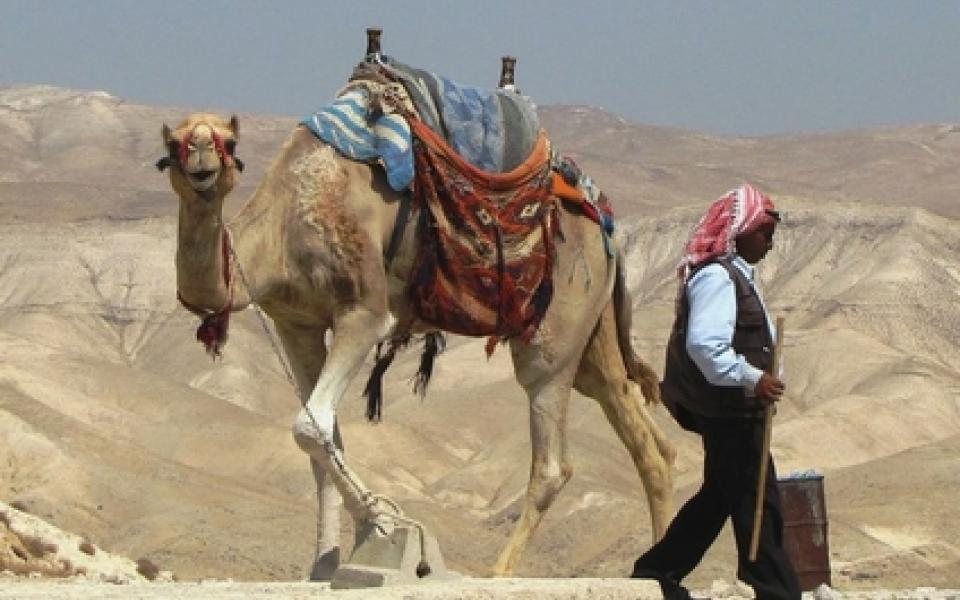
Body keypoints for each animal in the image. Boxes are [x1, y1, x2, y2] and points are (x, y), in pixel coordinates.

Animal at [159, 110, 676, 580]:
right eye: (175, 141)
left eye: (227, 142)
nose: (201, 160)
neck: (284, 224)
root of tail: (605, 224)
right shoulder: (296, 324)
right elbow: (323, 438)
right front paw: (324, 565)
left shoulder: (363, 311)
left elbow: (310, 429)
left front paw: (382, 521)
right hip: (591, 330)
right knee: (642, 432)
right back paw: (655, 566)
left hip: (554, 329)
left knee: (551, 457)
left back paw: (497, 574)